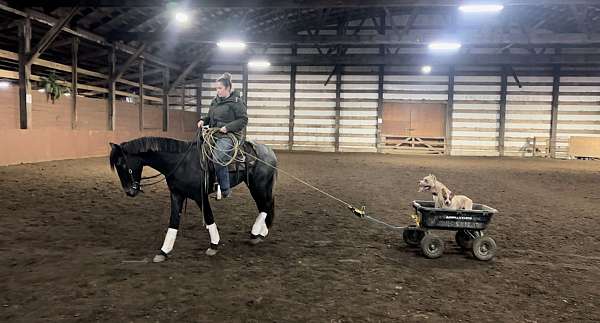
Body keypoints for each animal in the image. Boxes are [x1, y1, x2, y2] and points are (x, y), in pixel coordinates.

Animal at [109, 135, 278, 262]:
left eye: (122, 164)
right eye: (116, 165)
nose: (129, 192)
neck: (181, 163)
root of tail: (269, 151)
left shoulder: (200, 196)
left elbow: (209, 218)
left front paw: (214, 245)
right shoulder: (176, 195)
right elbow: (173, 221)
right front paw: (164, 251)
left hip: (258, 185)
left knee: (265, 205)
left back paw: (256, 233)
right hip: (257, 186)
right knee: (265, 205)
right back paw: (262, 232)